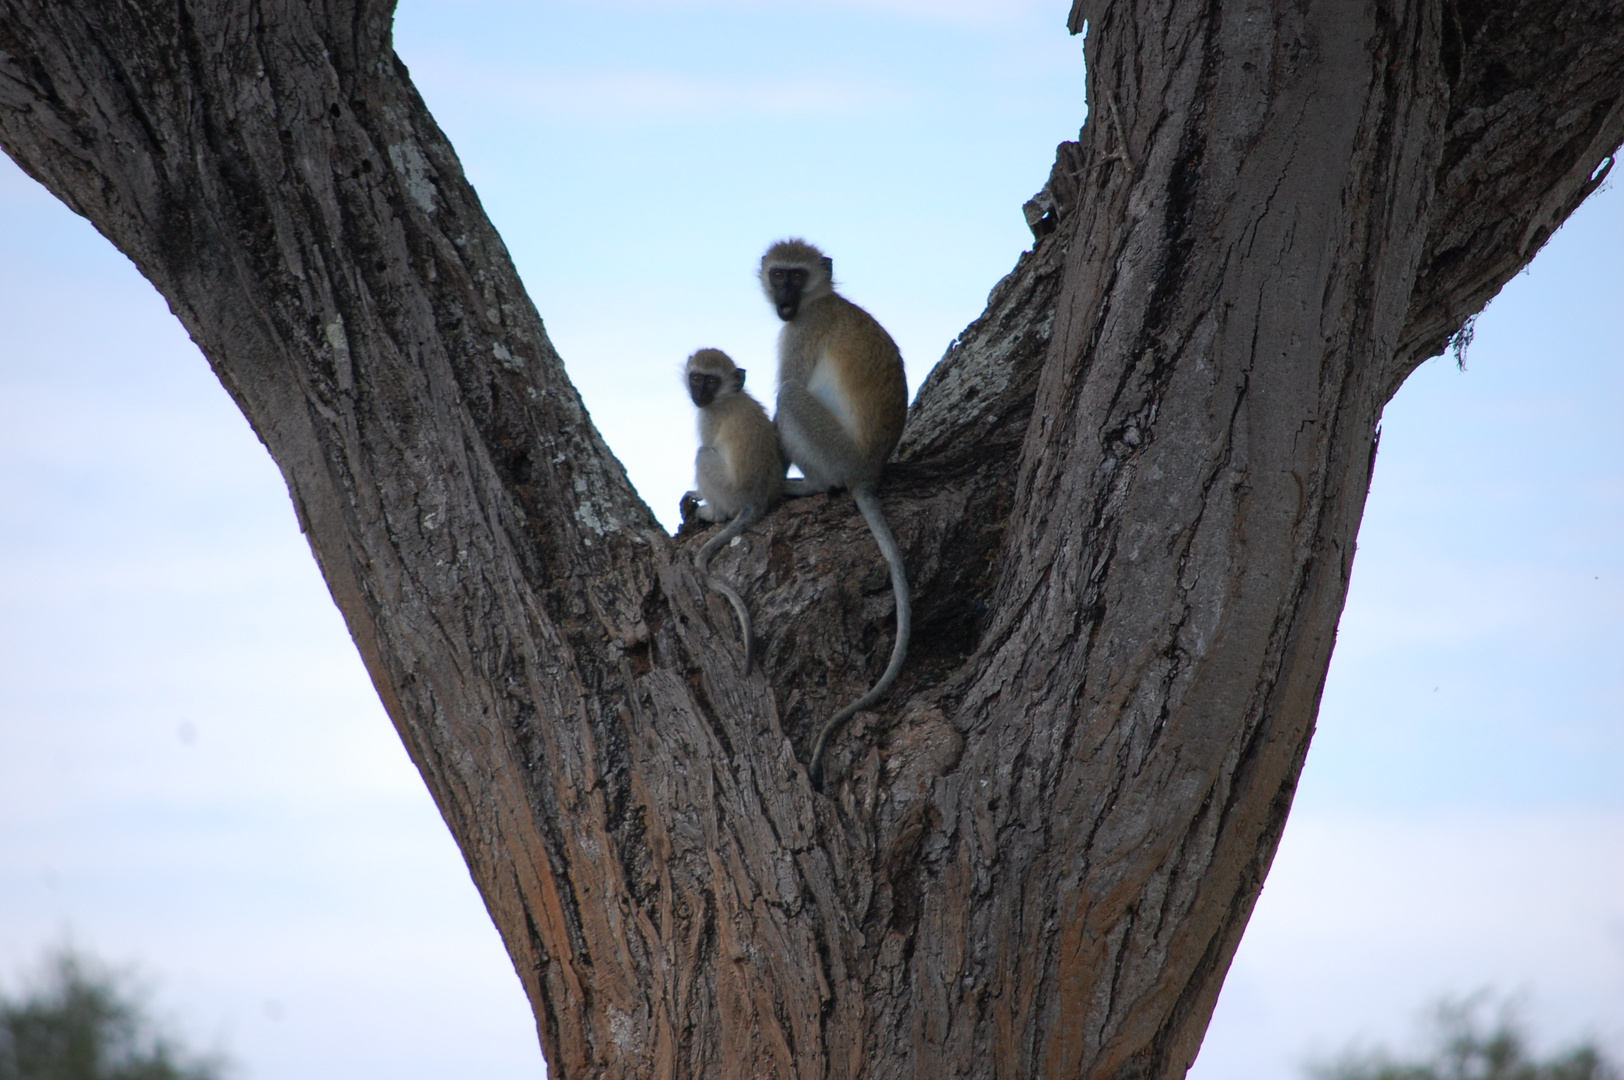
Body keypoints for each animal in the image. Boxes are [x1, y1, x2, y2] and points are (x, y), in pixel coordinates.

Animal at [685, 347, 786, 675]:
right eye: (696, 377)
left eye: (711, 381)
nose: (699, 395)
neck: (726, 397)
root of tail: (755, 501)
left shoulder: (708, 418)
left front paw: (697, 495)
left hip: (728, 490)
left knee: (703, 454)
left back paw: (712, 514)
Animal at [756, 240, 909, 789]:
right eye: (778, 275)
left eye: (796, 277)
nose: (783, 298)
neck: (817, 301)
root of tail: (867, 471)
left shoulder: (801, 332)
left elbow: (785, 388)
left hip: (835, 452)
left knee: (790, 399)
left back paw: (809, 485)